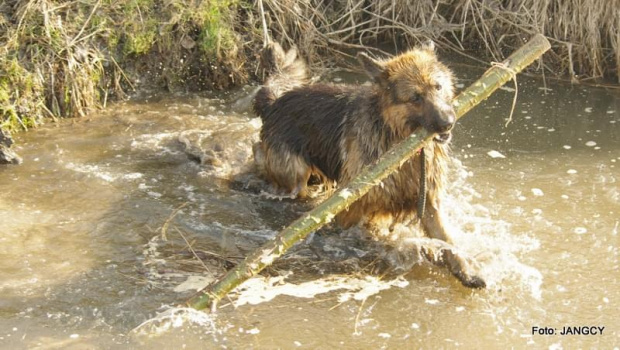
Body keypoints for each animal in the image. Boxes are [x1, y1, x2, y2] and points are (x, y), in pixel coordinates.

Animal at [252, 42, 484, 288]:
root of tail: (274, 103)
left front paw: (466, 270)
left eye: (438, 87)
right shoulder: (352, 209)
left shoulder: (429, 201)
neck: (397, 140)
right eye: (415, 98)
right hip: (295, 174)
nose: (448, 123)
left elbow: (449, 242)